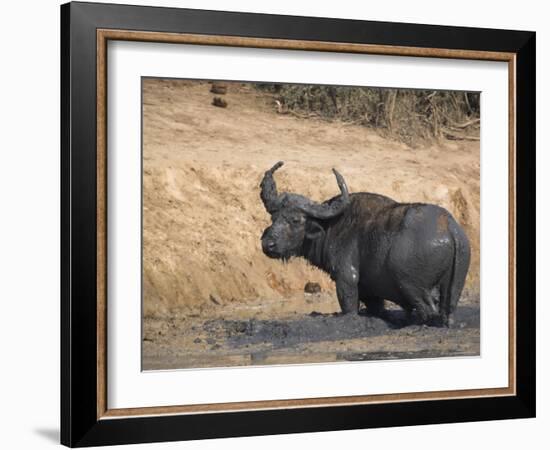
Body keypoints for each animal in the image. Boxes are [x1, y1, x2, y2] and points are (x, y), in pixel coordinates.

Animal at [260, 162, 472, 326]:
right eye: (274, 217)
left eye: (295, 220)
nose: (267, 244)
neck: (330, 226)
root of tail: (450, 227)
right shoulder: (371, 292)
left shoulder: (346, 279)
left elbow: (349, 305)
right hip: (454, 287)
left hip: (410, 284)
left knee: (427, 309)